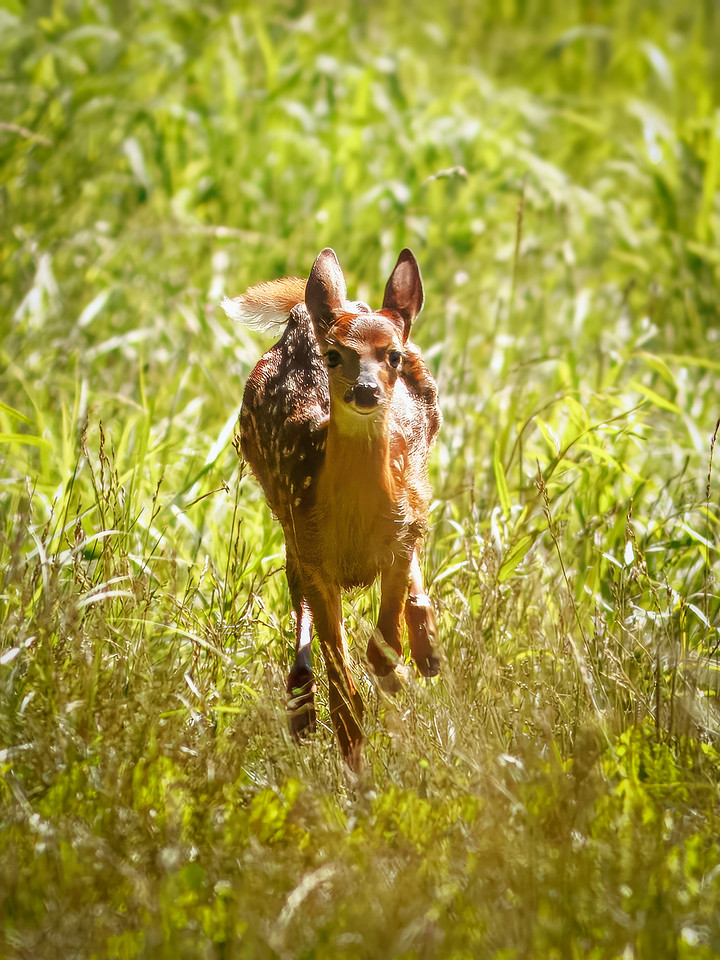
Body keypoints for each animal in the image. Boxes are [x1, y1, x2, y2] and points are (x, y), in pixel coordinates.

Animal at [222, 248, 441, 769]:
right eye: (335, 355)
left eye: (392, 355)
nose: (364, 391)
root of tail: (304, 318)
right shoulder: (313, 548)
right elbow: (342, 687)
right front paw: (354, 759)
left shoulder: (397, 538)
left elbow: (384, 643)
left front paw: (395, 676)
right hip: (284, 512)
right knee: (296, 593)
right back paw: (301, 705)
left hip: (417, 480)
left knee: (417, 544)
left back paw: (426, 647)